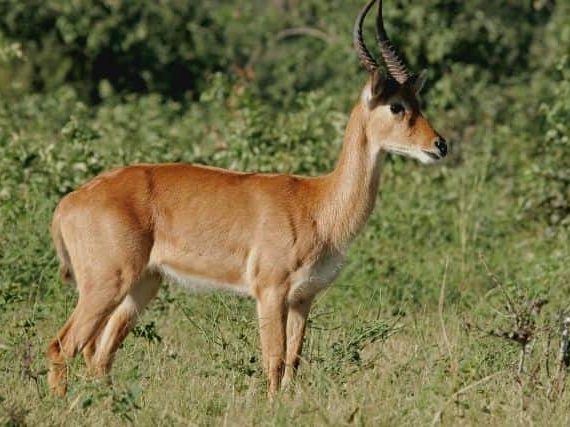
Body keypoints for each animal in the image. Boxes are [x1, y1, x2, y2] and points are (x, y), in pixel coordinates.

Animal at [47, 0, 448, 400]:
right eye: (396, 106)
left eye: (418, 100)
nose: (439, 144)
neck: (318, 205)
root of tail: (69, 202)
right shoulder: (270, 291)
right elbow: (274, 361)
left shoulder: (302, 299)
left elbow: (293, 363)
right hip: (106, 284)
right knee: (63, 345)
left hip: (142, 285)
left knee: (99, 355)